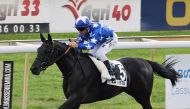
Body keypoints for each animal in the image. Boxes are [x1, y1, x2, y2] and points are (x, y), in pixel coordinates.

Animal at [30, 33, 180, 108]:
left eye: (48, 51)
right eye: (38, 49)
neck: (74, 70)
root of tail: (145, 62)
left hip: (143, 96)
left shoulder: (76, 97)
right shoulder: (74, 101)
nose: (33, 68)